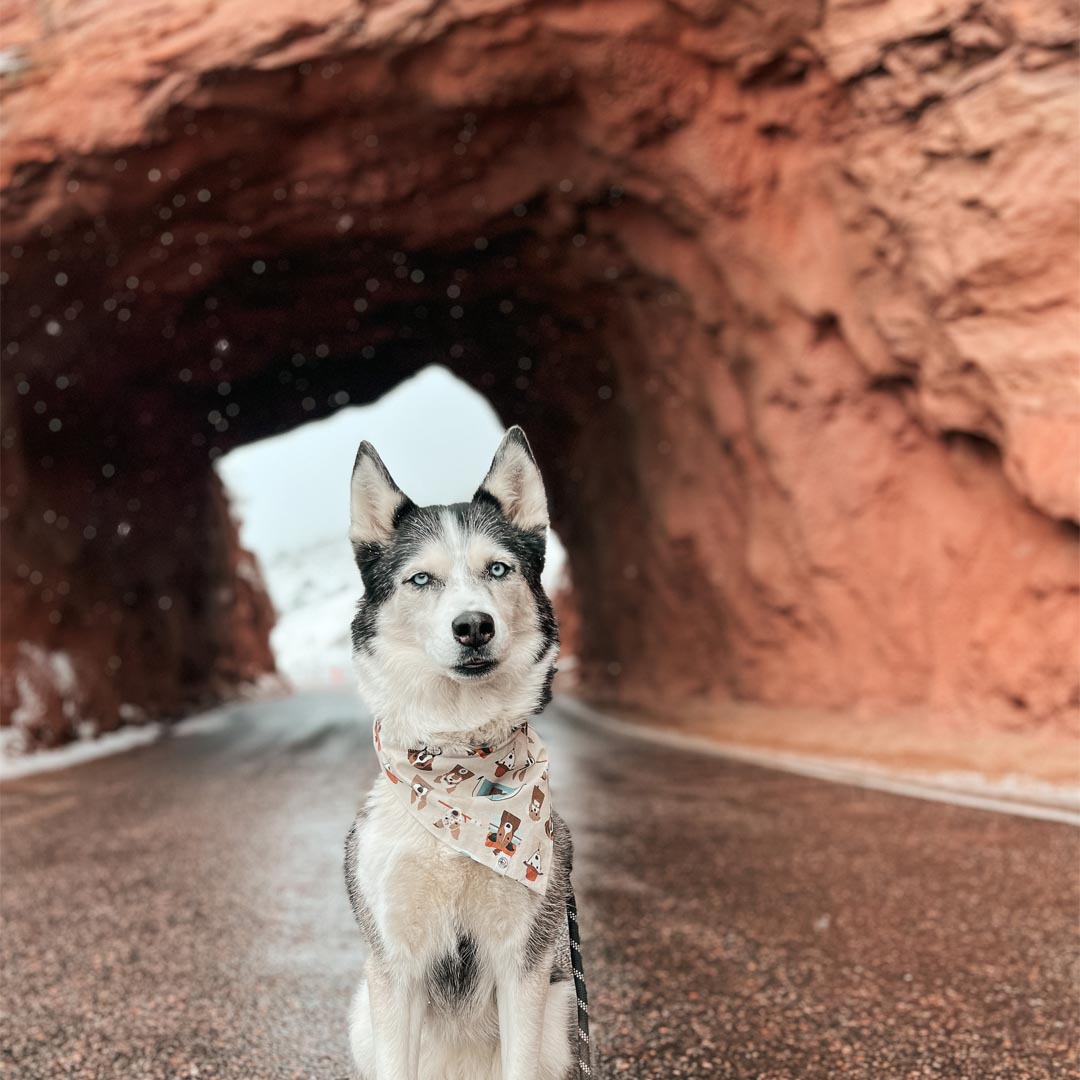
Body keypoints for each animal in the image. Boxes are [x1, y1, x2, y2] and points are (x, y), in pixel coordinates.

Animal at [345, 425, 583, 1080]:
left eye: (497, 569)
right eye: (421, 579)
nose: (473, 626)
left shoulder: (523, 964)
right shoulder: (394, 966)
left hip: (560, 1020)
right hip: (361, 1017)